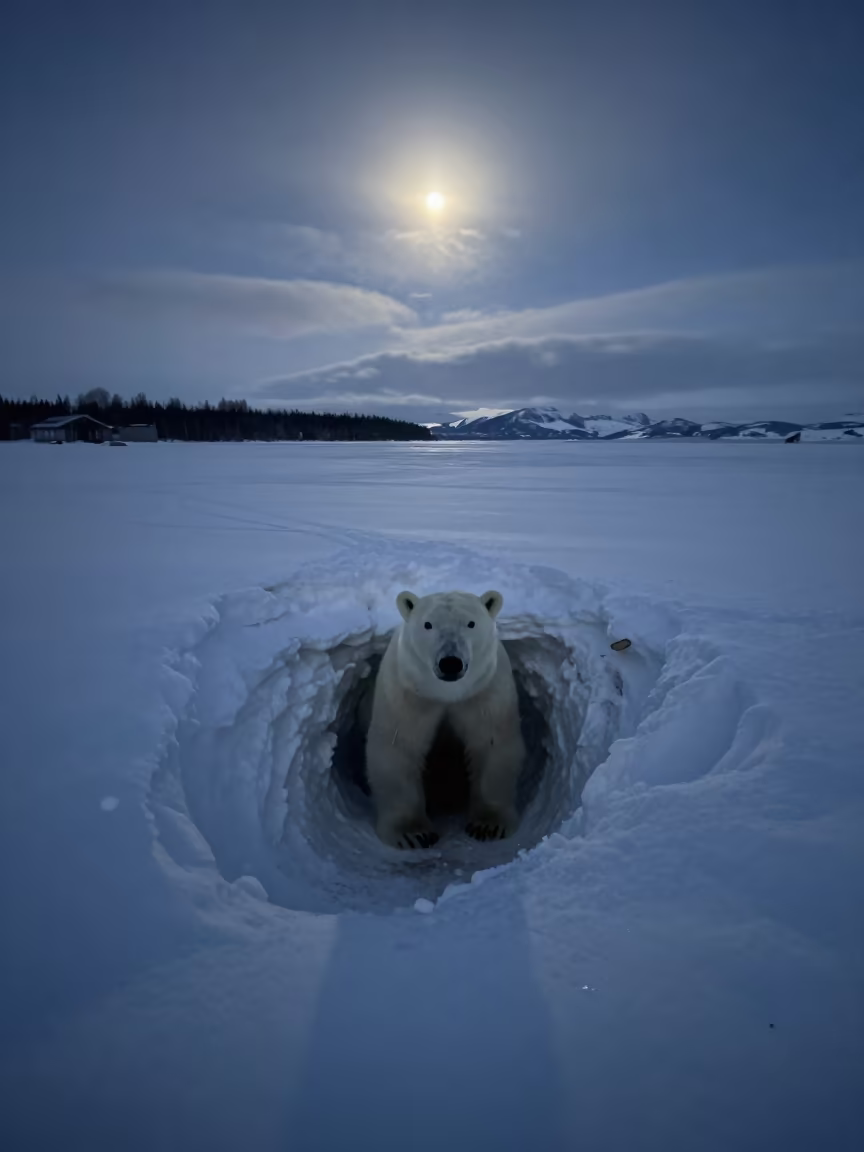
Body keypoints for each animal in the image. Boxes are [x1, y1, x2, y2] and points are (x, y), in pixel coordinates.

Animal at [366, 588, 525, 849]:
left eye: (470, 623)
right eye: (428, 624)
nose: (450, 662)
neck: (446, 693)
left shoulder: (484, 693)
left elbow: (491, 745)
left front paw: (488, 826)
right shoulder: (407, 694)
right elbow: (398, 749)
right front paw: (412, 834)